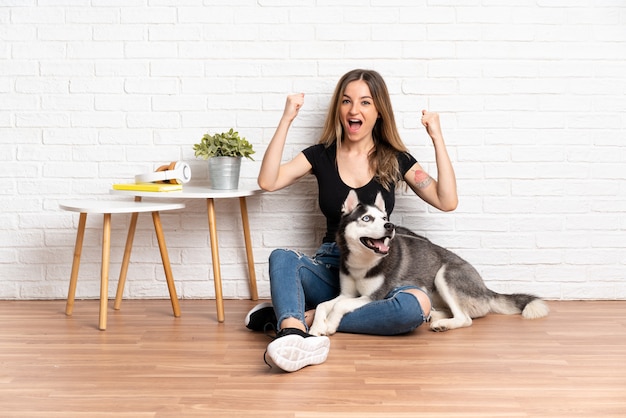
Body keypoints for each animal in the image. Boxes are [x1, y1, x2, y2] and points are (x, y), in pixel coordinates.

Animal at [308, 189, 544, 336]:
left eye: (384, 218)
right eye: (367, 218)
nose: (390, 226)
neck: (363, 263)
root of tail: (486, 288)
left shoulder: (373, 297)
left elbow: (340, 306)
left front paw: (330, 324)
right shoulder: (347, 293)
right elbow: (323, 304)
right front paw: (317, 326)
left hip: (445, 274)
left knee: (465, 318)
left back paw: (443, 323)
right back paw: (434, 314)